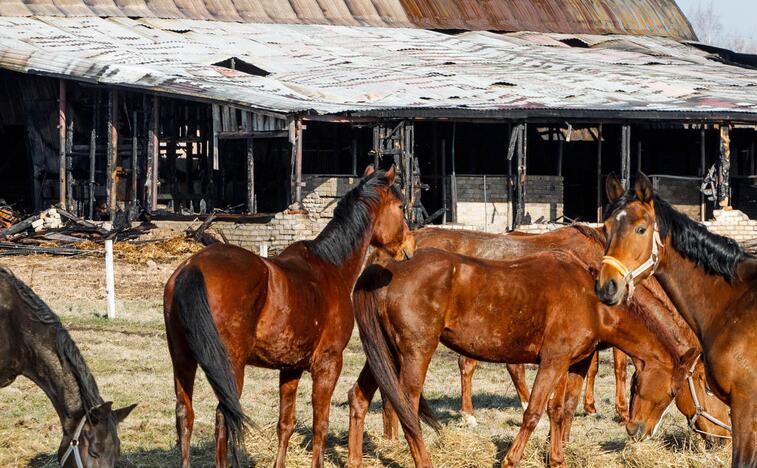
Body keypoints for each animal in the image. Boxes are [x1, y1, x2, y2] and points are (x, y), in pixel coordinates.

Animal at [162, 165, 416, 468]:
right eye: (400, 206)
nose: (410, 246)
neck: (330, 265)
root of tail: (193, 266)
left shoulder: (290, 368)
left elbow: (286, 423)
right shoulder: (328, 364)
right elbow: (321, 424)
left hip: (183, 360)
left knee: (184, 415)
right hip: (229, 366)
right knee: (223, 416)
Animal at [348, 247, 696, 466]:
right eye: (672, 392)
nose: (639, 432)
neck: (591, 301)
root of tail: (387, 268)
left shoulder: (572, 364)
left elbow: (560, 411)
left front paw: (557, 459)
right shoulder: (553, 361)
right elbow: (534, 412)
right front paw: (511, 459)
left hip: (383, 352)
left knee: (359, 398)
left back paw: (354, 460)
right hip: (415, 352)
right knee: (406, 407)